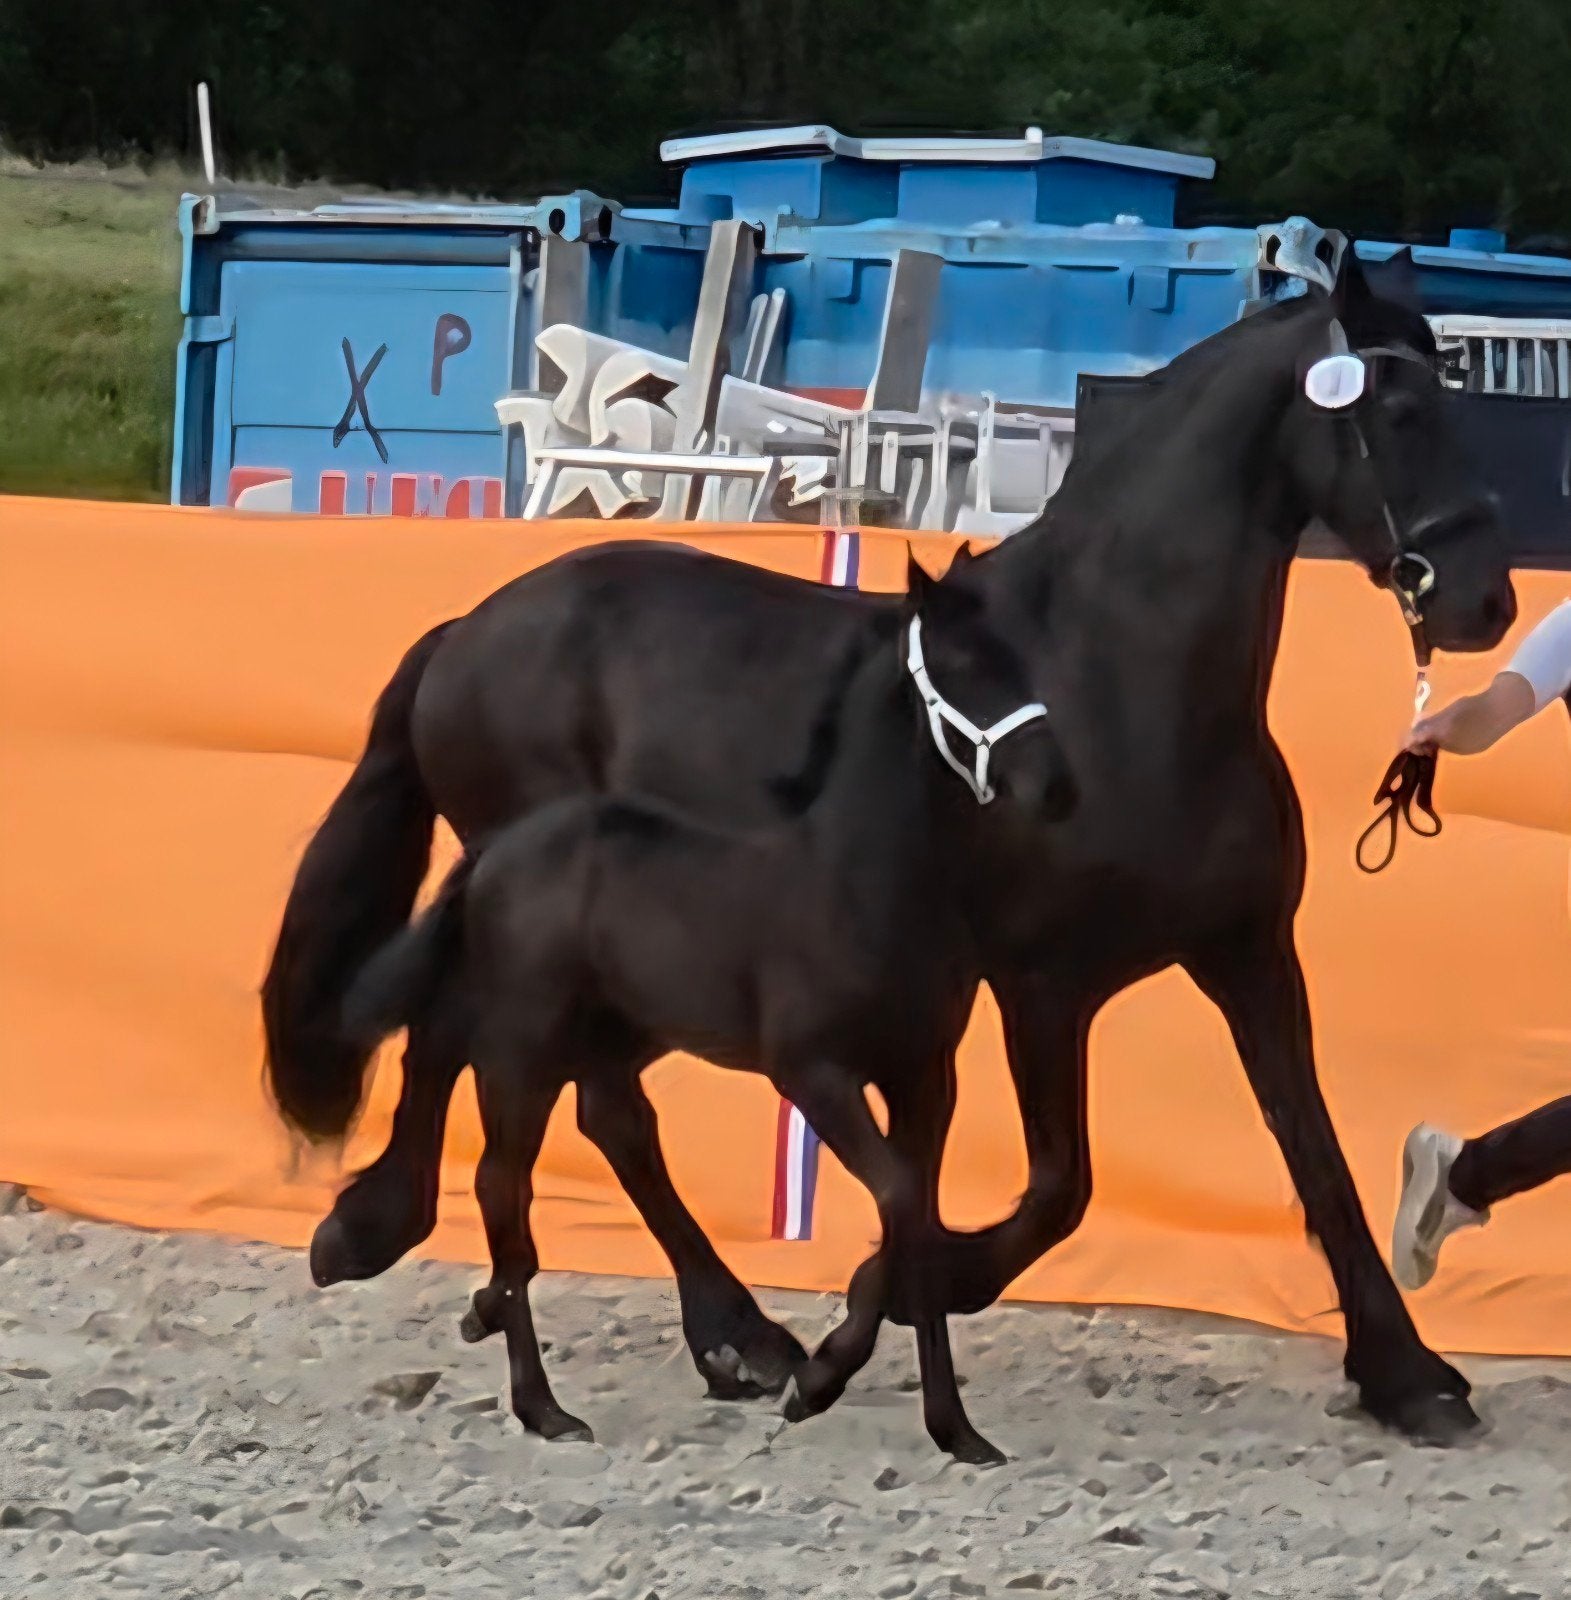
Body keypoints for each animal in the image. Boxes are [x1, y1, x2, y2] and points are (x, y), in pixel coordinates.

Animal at [339, 554, 1070, 1460]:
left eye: (1023, 663)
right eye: (964, 665)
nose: (1058, 787)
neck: (854, 879)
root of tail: (498, 852)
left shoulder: (922, 1075)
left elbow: (918, 1220)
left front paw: (953, 1430)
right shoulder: (813, 1074)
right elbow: (899, 1200)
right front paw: (817, 1385)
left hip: (601, 1038)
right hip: (524, 1049)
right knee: (503, 1185)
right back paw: (544, 1406)